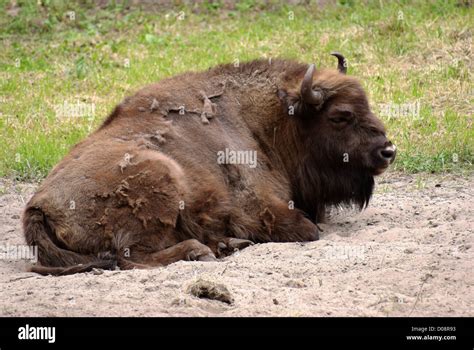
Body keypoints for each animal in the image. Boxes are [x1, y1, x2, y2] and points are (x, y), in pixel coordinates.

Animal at [25, 53, 396, 274]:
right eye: (340, 116)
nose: (388, 151)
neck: (264, 121)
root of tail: (37, 206)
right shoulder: (260, 207)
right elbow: (308, 230)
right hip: (162, 176)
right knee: (131, 256)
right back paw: (201, 250)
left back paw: (225, 245)